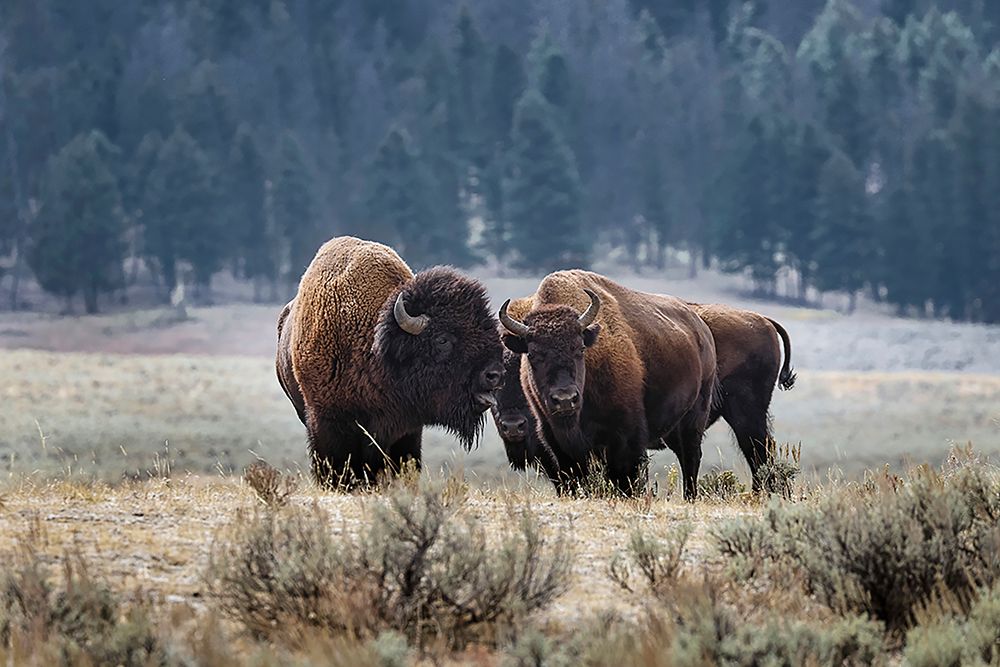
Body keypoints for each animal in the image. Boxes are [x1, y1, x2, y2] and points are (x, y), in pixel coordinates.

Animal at [499, 270, 719, 499]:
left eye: (580, 349)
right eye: (532, 355)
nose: (565, 399)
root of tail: (701, 329)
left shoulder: (625, 436)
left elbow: (625, 477)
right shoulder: (556, 441)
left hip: (694, 417)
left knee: (690, 458)